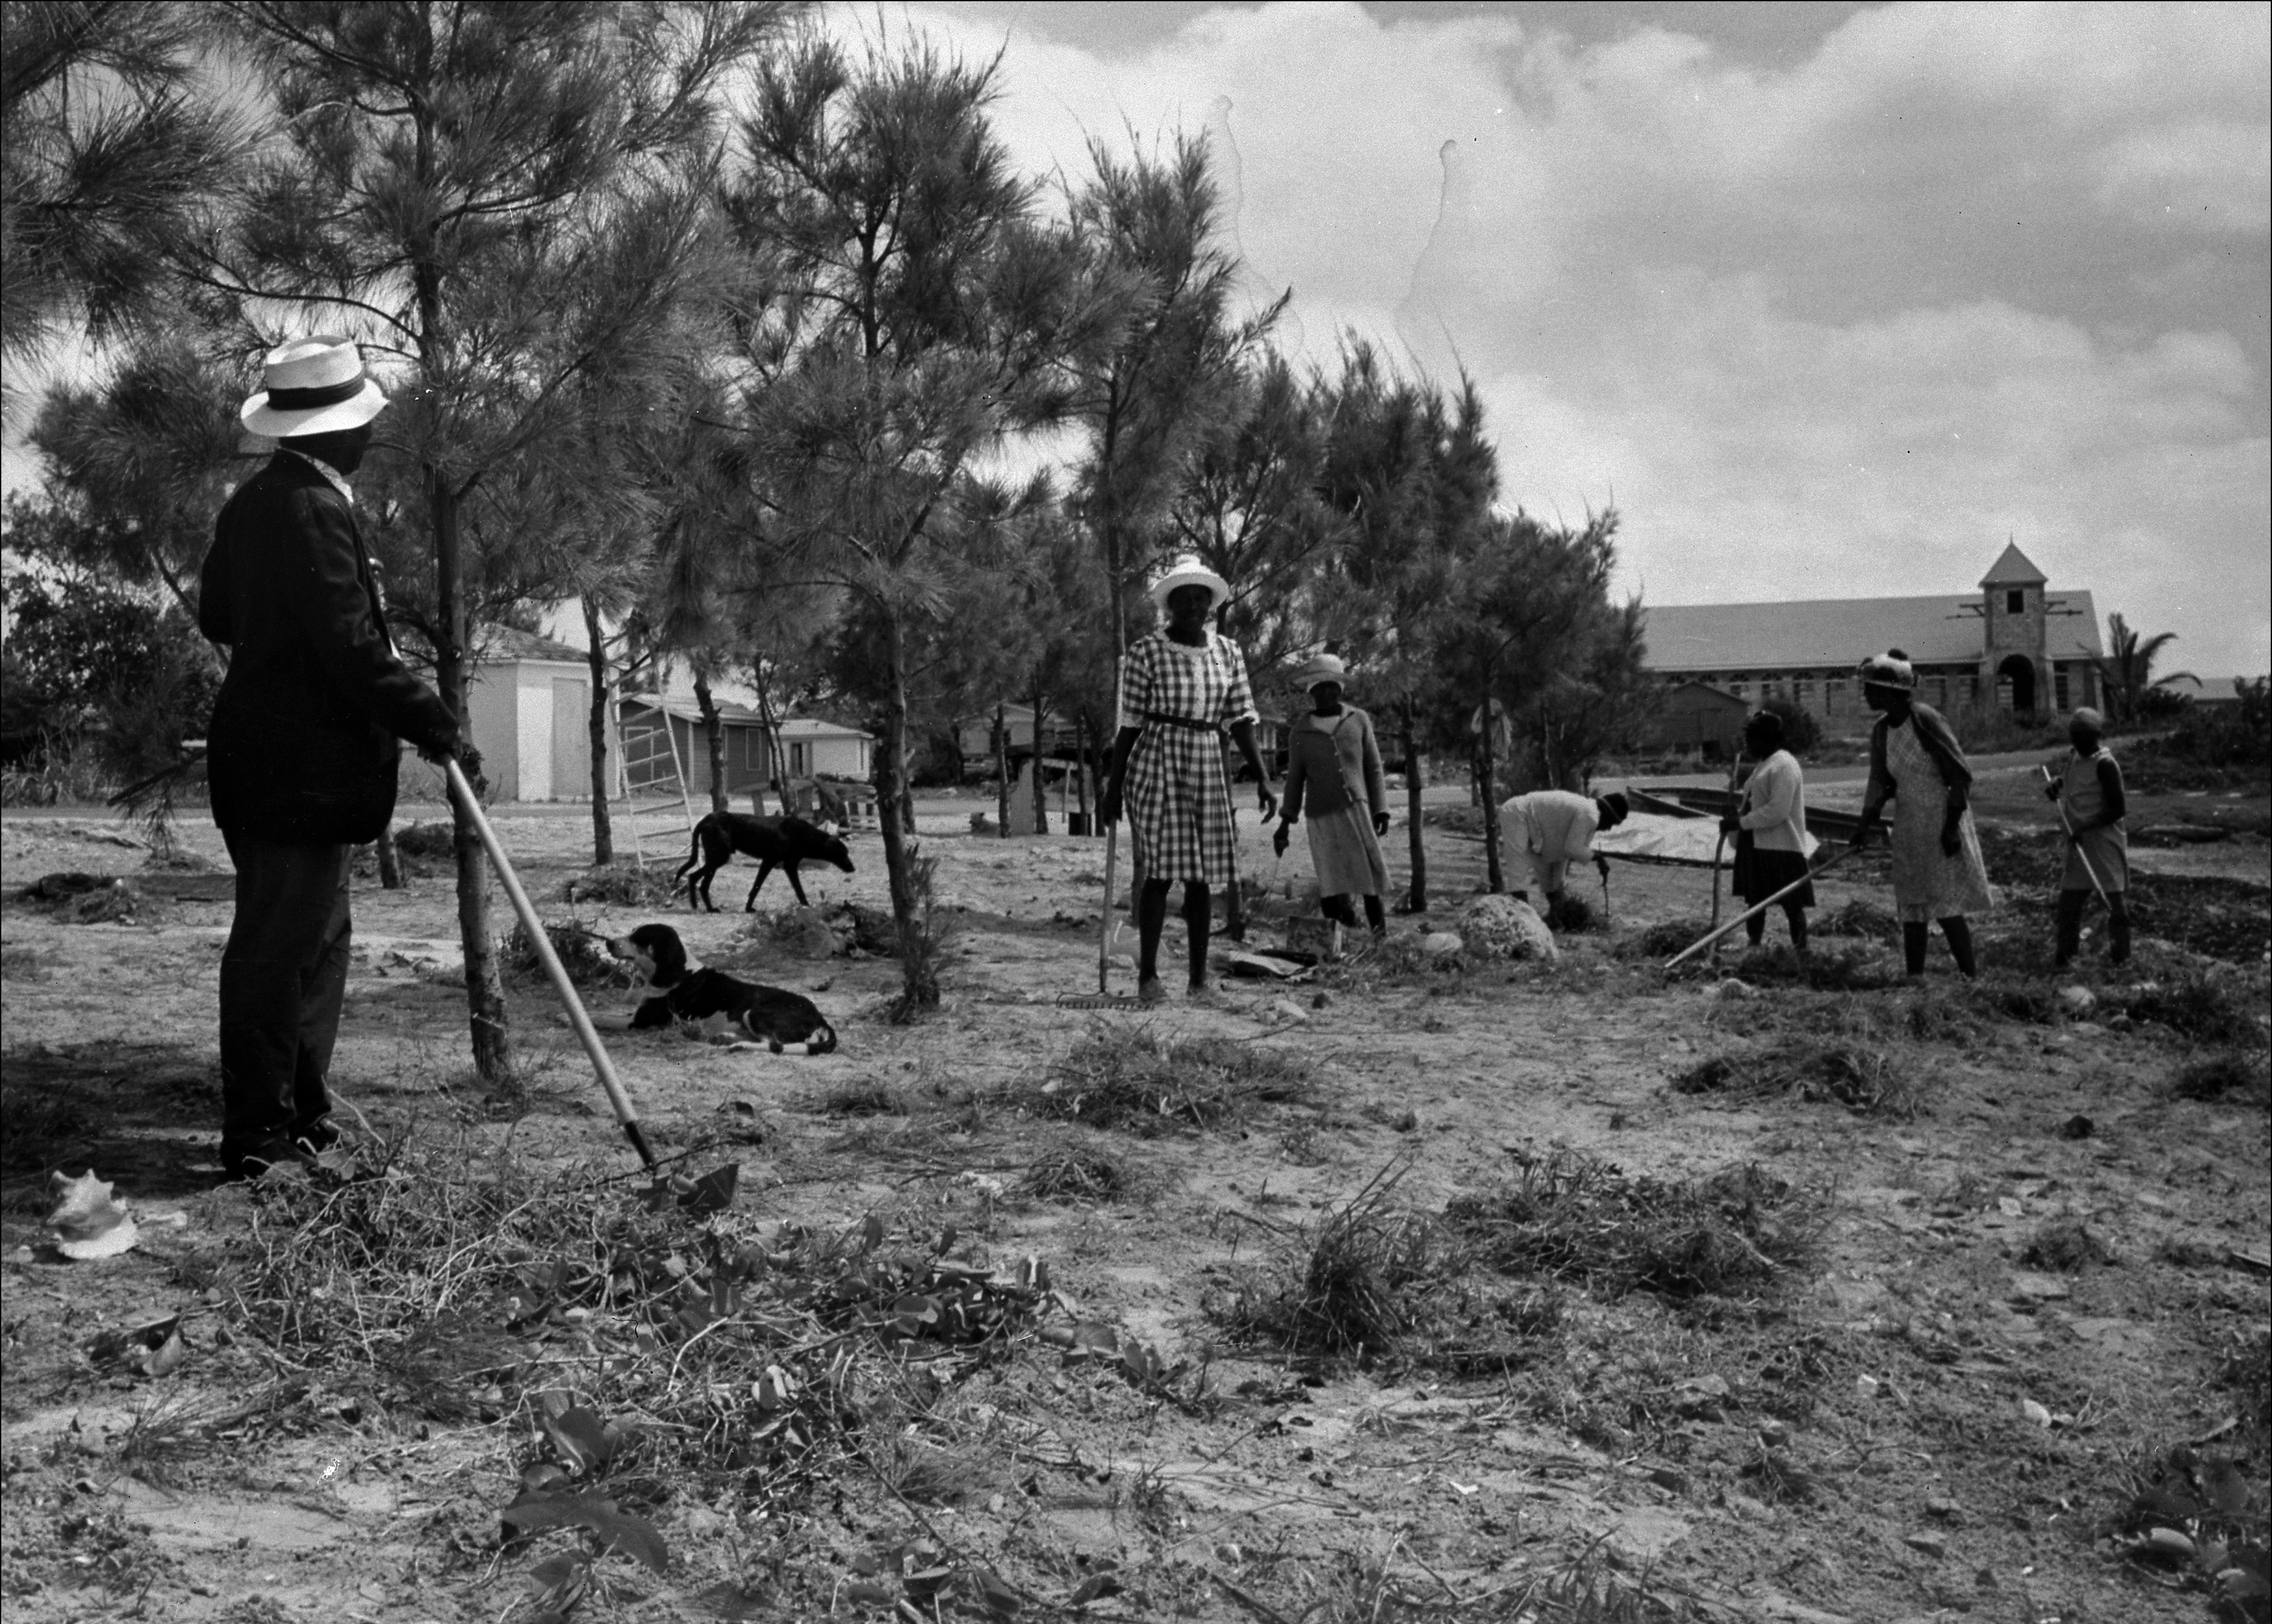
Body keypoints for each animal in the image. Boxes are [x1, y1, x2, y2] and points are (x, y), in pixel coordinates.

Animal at [608, 926, 841, 1054]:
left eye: (639, 938)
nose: (608, 942)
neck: (680, 972)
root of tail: (819, 1016)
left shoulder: (639, 1022)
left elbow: (604, 1019)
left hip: (755, 1013)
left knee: (774, 1044)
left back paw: (734, 1045)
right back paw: (725, 1038)